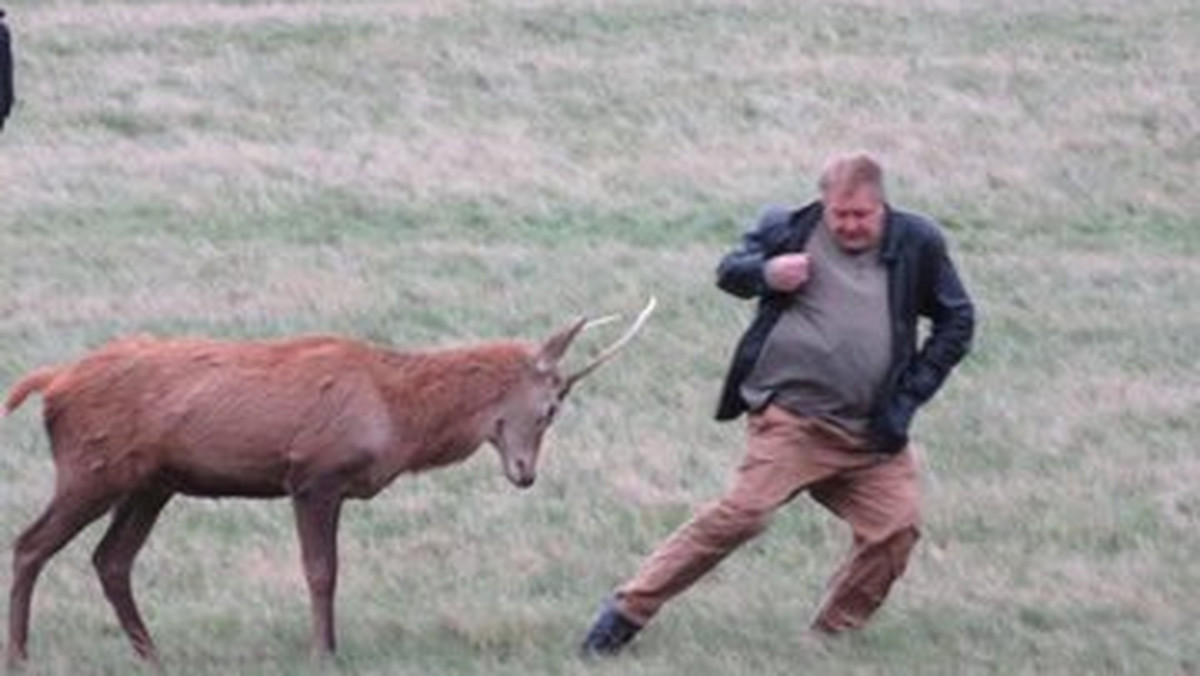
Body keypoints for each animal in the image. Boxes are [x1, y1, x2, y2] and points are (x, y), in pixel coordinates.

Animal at [0, 300, 657, 667]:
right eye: (549, 409)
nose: (526, 474)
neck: (398, 415)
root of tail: (51, 383)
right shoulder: (315, 474)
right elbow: (322, 571)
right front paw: (324, 650)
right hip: (92, 467)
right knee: (30, 544)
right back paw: (22, 652)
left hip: (151, 483)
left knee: (111, 559)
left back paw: (150, 653)